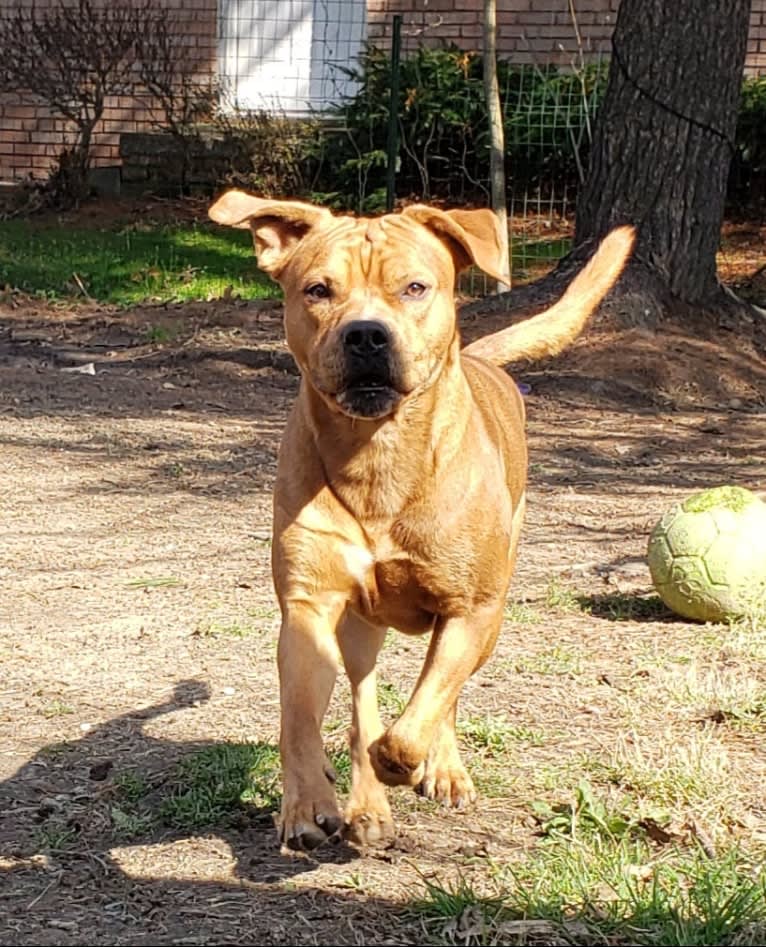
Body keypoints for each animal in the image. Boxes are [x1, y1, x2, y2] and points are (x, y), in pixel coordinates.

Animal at [207, 191, 632, 852]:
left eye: (414, 287)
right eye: (318, 289)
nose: (365, 334)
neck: (377, 456)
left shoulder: (472, 609)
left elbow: (423, 711)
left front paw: (406, 760)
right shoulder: (308, 606)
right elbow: (301, 717)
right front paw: (307, 803)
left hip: (488, 614)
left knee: (443, 696)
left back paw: (440, 768)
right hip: (358, 628)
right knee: (361, 697)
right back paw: (365, 802)